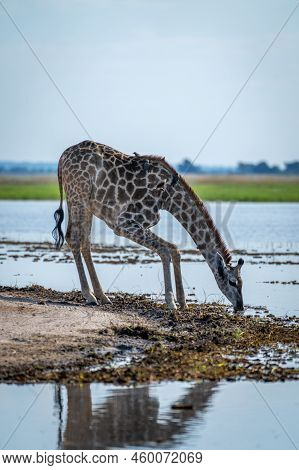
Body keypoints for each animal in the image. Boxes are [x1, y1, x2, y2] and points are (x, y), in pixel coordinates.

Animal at [52, 142, 245, 312]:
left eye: (242, 282)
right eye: (232, 282)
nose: (240, 306)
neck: (168, 198)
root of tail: (62, 158)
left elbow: (174, 249)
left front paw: (183, 302)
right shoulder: (122, 223)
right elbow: (165, 251)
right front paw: (171, 302)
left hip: (86, 204)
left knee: (84, 241)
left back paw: (102, 296)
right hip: (79, 197)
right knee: (73, 238)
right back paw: (89, 296)